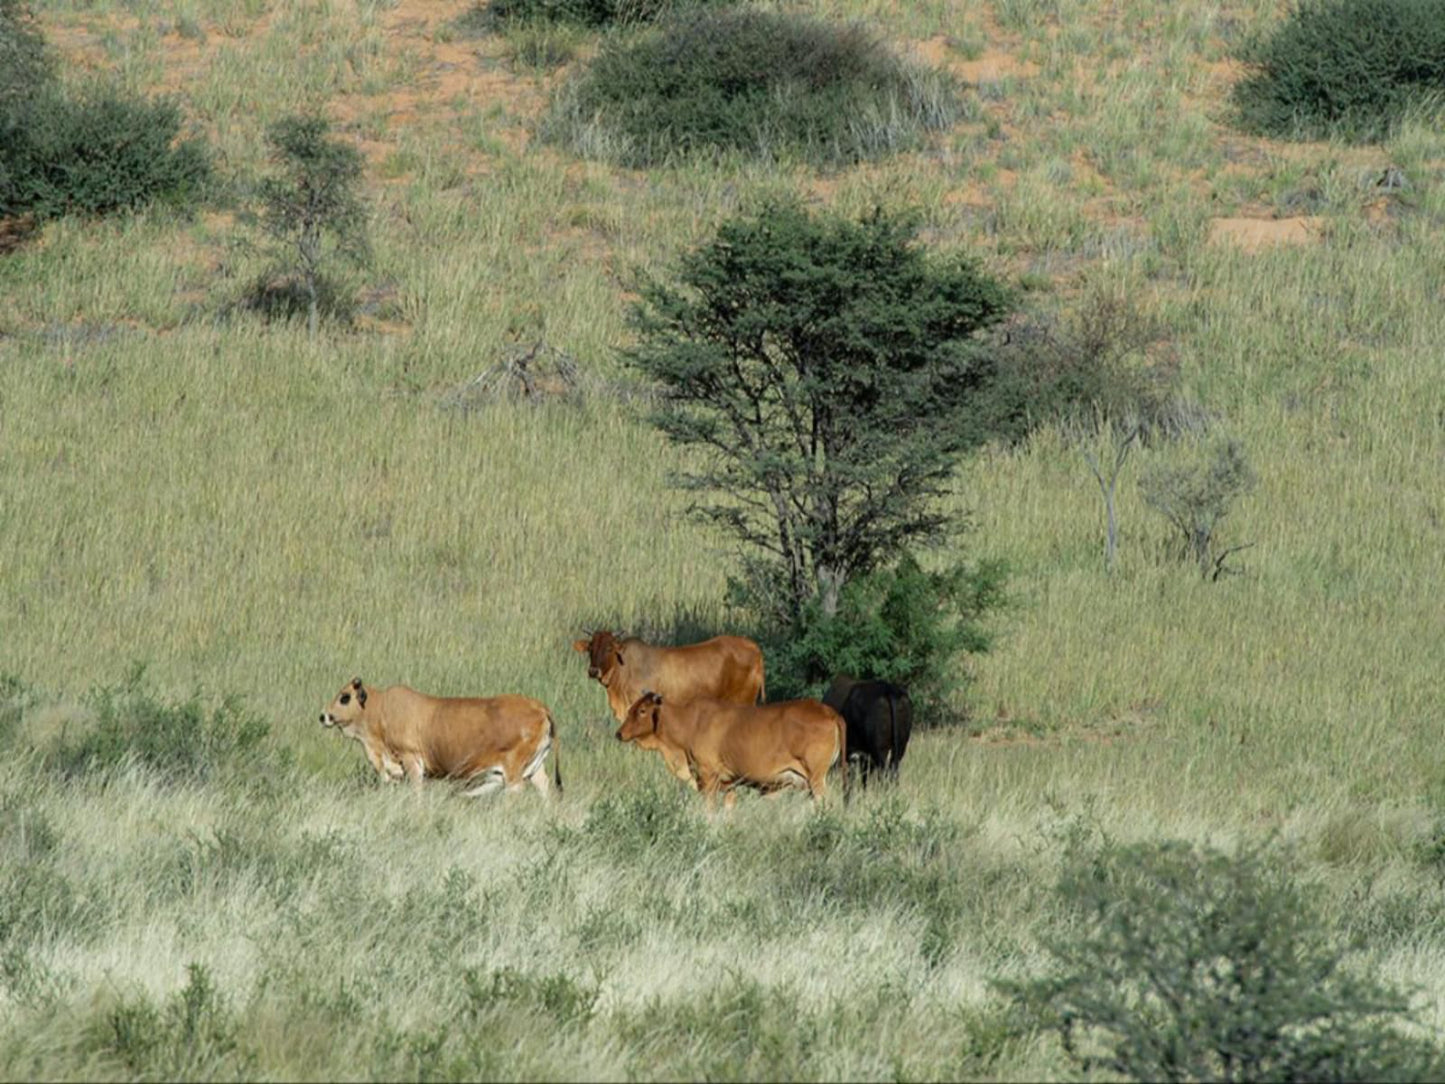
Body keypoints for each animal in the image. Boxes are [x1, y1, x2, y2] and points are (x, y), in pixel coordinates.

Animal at [319, 679, 560, 797]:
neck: (381, 710)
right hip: (536, 769)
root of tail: (539, 707)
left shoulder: (412, 761)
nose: (323, 716)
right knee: (544, 787)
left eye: (344, 697)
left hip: (513, 773)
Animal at [612, 690, 843, 809]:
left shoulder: (707, 778)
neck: (690, 722)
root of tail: (828, 711)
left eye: (642, 710)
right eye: (631, 708)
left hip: (816, 780)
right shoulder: (729, 783)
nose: (619, 733)